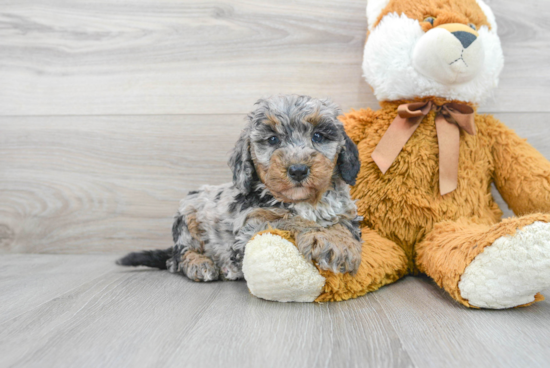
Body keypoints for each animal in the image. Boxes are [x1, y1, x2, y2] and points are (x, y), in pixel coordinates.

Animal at [117, 95, 362, 282]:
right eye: (272, 140)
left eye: (318, 136)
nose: (298, 170)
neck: (304, 201)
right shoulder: (248, 229)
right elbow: (289, 218)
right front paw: (326, 238)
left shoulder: (347, 214)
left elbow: (341, 224)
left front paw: (339, 241)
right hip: (187, 217)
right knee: (176, 258)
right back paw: (202, 264)